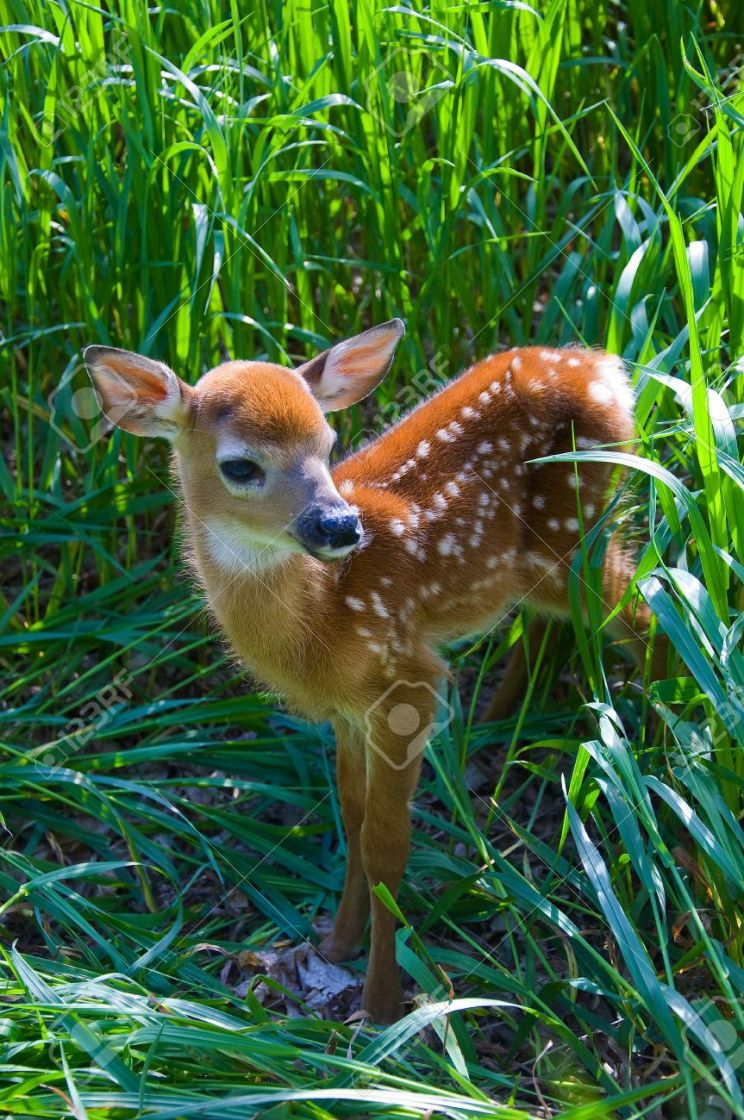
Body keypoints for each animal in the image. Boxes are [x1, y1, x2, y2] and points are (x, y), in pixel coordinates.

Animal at [87, 322, 654, 1025]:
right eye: (241, 465)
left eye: (329, 445)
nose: (340, 525)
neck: (324, 617)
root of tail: (603, 368)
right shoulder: (347, 711)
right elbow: (352, 819)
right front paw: (335, 945)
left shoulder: (408, 683)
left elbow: (387, 845)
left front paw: (383, 1004)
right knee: (562, 624)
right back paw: (497, 731)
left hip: (575, 529)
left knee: (648, 613)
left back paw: (659, 741)